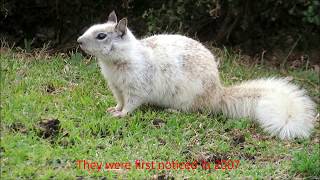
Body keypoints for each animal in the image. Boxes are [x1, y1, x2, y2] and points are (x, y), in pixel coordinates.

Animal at [77, 11, 316, 140]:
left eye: (101, 36)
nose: (78, 41)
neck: (116, 62)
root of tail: (217, 94)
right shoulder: (116, 88)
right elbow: (119, 101)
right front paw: (113, 110)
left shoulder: (136, 87)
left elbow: (132, 104)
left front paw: (122, 115)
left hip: (188, 99)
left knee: (193, 110)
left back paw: (173, 111)